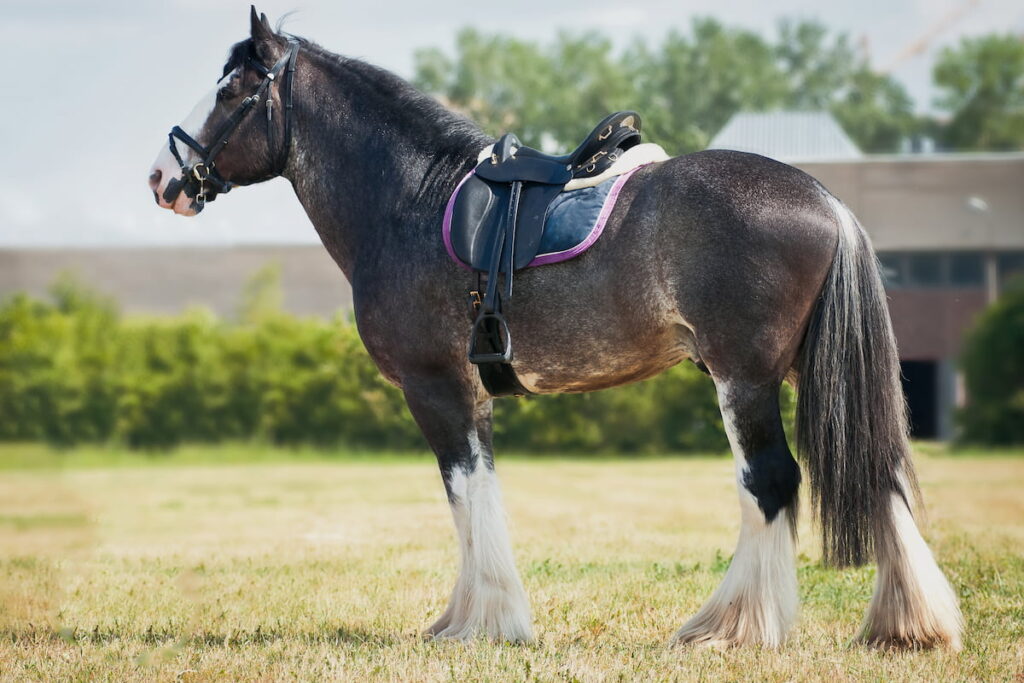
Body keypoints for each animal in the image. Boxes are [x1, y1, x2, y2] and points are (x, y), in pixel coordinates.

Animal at [148, 10, 962, 651]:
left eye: (233, 90)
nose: (163, 177)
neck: (411, 200)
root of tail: (827, 200)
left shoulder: (434, 386)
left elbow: (466, 492)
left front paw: (485, 623)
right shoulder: (468, 391)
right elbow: (476, 493)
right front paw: (470, 618)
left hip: (746, 379)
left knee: (770, 481)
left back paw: (732, 627)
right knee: (879, 466)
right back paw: (907, 625)